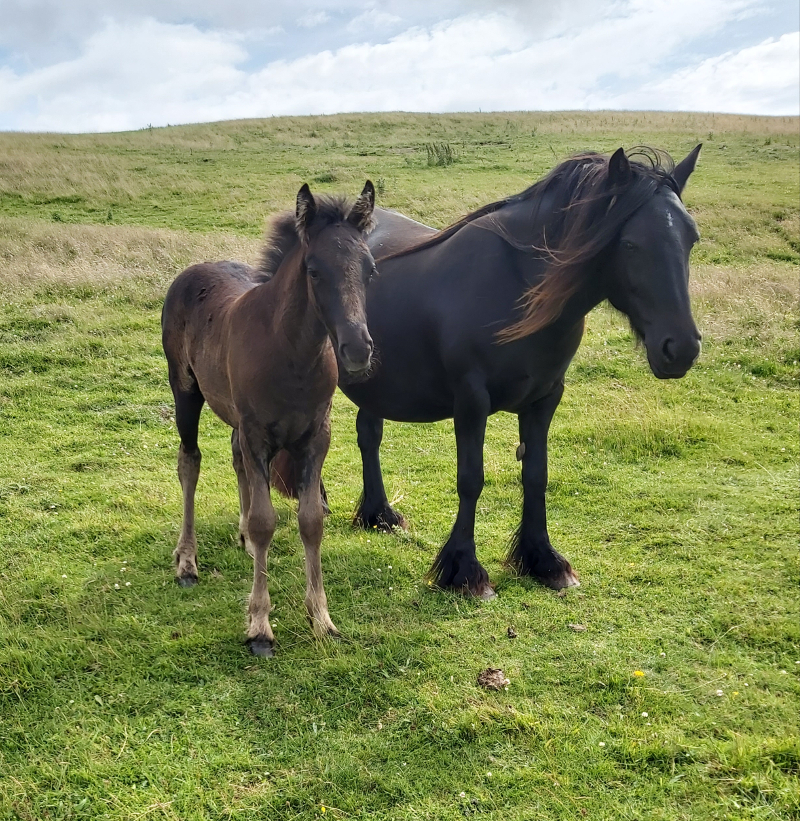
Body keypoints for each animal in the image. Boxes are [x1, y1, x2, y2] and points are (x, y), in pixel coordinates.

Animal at [162, 183, 378, 656]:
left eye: (370, 270)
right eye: (314, 271)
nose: (357, 349)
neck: (291, 353)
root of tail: (193, 270)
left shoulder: (316, 436)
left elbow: (310, 520)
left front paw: (322, 619)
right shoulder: (258, 434)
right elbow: (266, 522)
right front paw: (259, 625)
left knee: (234, 457)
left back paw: (240, 539)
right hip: (185, 390)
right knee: (190, 461)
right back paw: (187, 561)